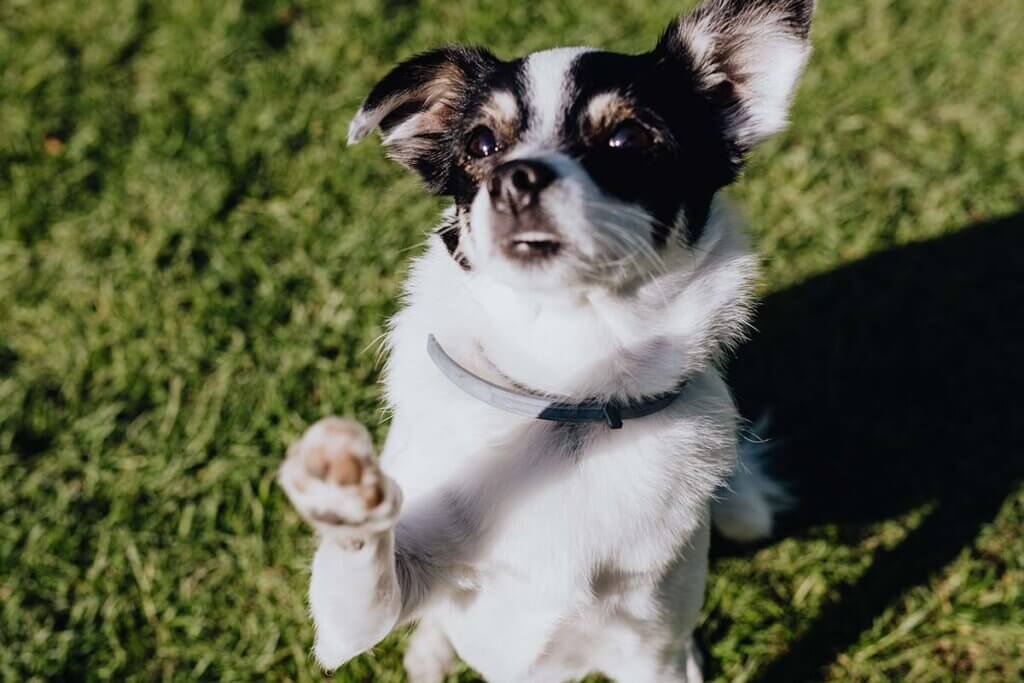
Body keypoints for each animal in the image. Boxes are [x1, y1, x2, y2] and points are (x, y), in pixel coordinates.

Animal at [278, 2, 815, 679]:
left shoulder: (652, 650)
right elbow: (360, 575)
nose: (516, 176)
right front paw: (340, 488)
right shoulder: (352, 626)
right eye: (482, 144)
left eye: (627, 140)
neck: (568, 395)